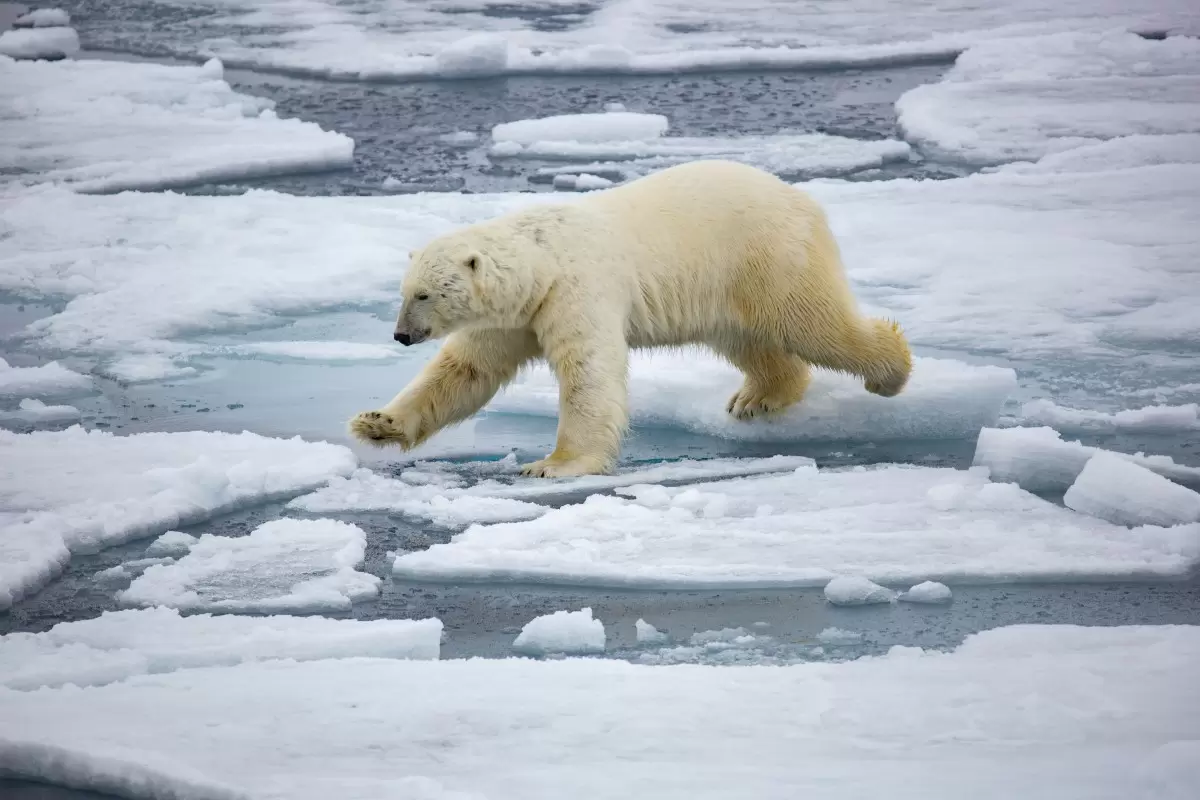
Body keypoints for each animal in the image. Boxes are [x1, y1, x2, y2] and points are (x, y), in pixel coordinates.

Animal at [348, 159, 907, 479]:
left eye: (424, 294)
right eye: (404, 292)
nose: (401, 335)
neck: (541, 259)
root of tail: (802, 197)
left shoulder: (576, 289)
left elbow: (588, 375)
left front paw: (554, 465)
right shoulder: (514, 316)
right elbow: (465, 371)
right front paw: (377, 424)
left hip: (765, 256)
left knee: (813, 324)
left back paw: (891, 372)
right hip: (729, 287)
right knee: (751, 341)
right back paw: (757, 397)